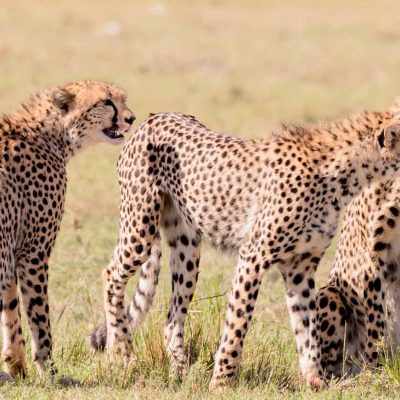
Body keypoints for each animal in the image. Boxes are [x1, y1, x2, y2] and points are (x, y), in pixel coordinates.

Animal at [0, 80, 134, 382]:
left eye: (123, 99)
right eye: (106, 102)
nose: (131, 118)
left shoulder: (13, 248)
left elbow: (11, 310)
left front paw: (17, 366)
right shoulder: (33, 251)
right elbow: (39, 317)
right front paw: (50, 372)